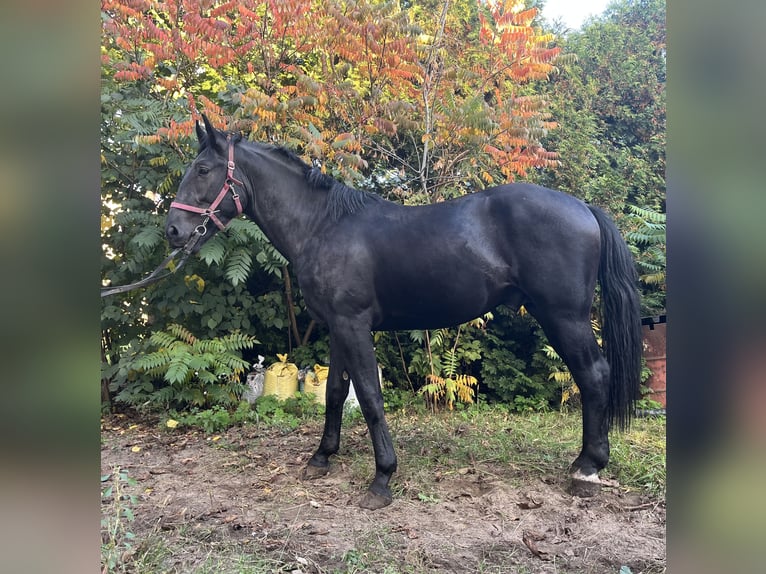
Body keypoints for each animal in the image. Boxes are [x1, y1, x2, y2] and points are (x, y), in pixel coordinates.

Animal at [166, 115, 640, 510]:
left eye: (203, 170)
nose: (173, 230)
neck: (323, 225)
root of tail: (583, 208)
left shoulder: (354, 325)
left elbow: (370, 397)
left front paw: (382, 479)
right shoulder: (337, 327)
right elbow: (335, 393)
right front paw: (322, 457)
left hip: (563, 317)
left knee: (594, 374)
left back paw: (588, 467)